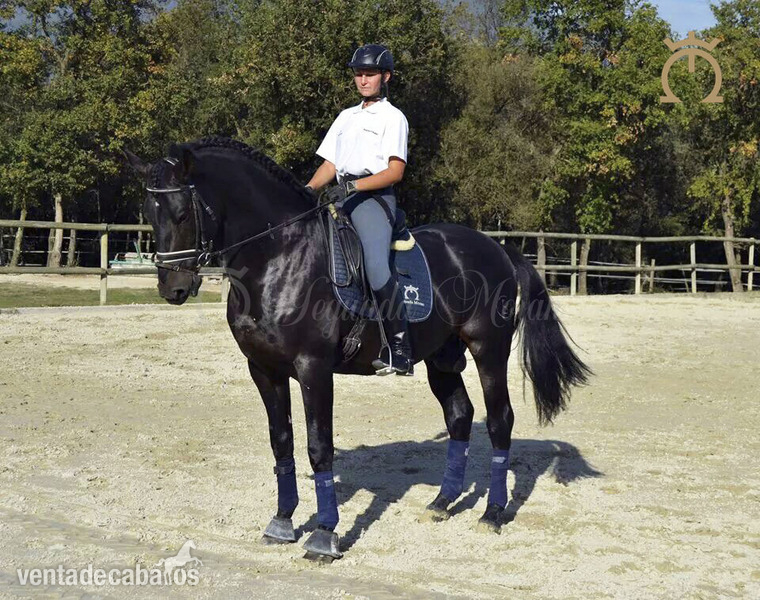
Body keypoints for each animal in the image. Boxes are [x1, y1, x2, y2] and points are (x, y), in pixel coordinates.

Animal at [125, 137, 591, 561]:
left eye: (182, 213)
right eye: (149, 214)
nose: (172, 289)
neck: (278, 257)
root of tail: (496, 247)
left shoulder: (313, 368)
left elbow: (318, 447)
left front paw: (324, 536)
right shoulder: (263, 369)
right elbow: (281, 442)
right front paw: (282, 522)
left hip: (487, 350)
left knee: (499, 420)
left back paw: (492, 513)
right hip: (442, 359)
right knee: (460, 417)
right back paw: (442, 503)